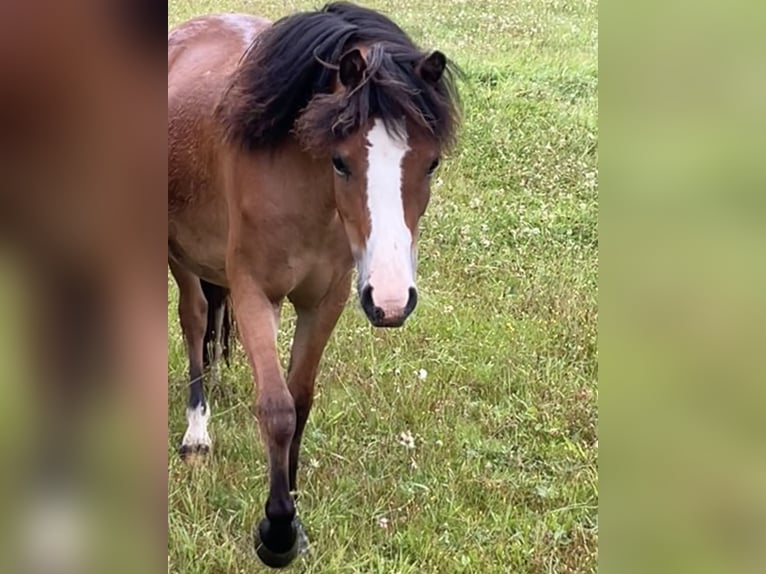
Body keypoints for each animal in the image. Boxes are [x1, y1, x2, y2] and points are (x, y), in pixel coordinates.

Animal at [168, 1, 460, 568]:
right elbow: (277, 409)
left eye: (431, 162)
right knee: (193, 321)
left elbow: (299, 399)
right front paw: (276, 532)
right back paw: (196, 431)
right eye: (341, 161)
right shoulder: (253, 291)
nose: (392, 300)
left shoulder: (327, 299)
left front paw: (294, 508)